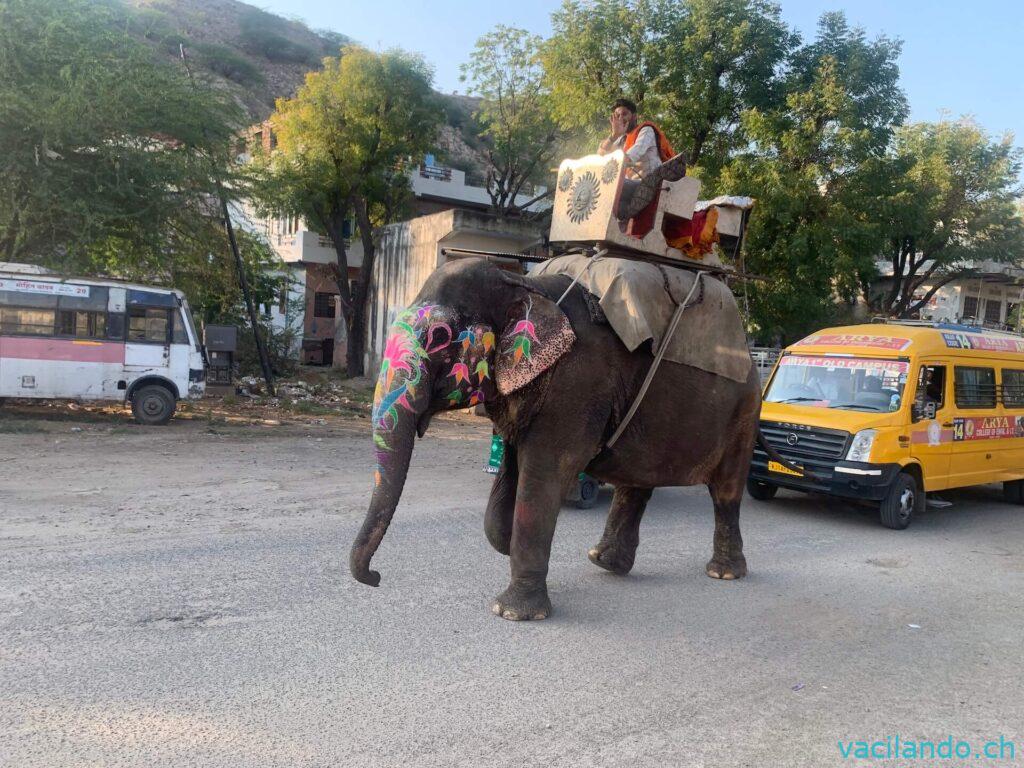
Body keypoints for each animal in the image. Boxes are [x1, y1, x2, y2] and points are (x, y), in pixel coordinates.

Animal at [350, 256, 761, 622]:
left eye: (439, 337)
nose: (376, 577)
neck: (524, 285)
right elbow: (511, 475)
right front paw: (506, 542)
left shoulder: (578, 385)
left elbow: (545, 474)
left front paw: (512, 613)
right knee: (637, 483)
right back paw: (606, 562)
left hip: (744, 414)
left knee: (725, 492)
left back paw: (723, 572)